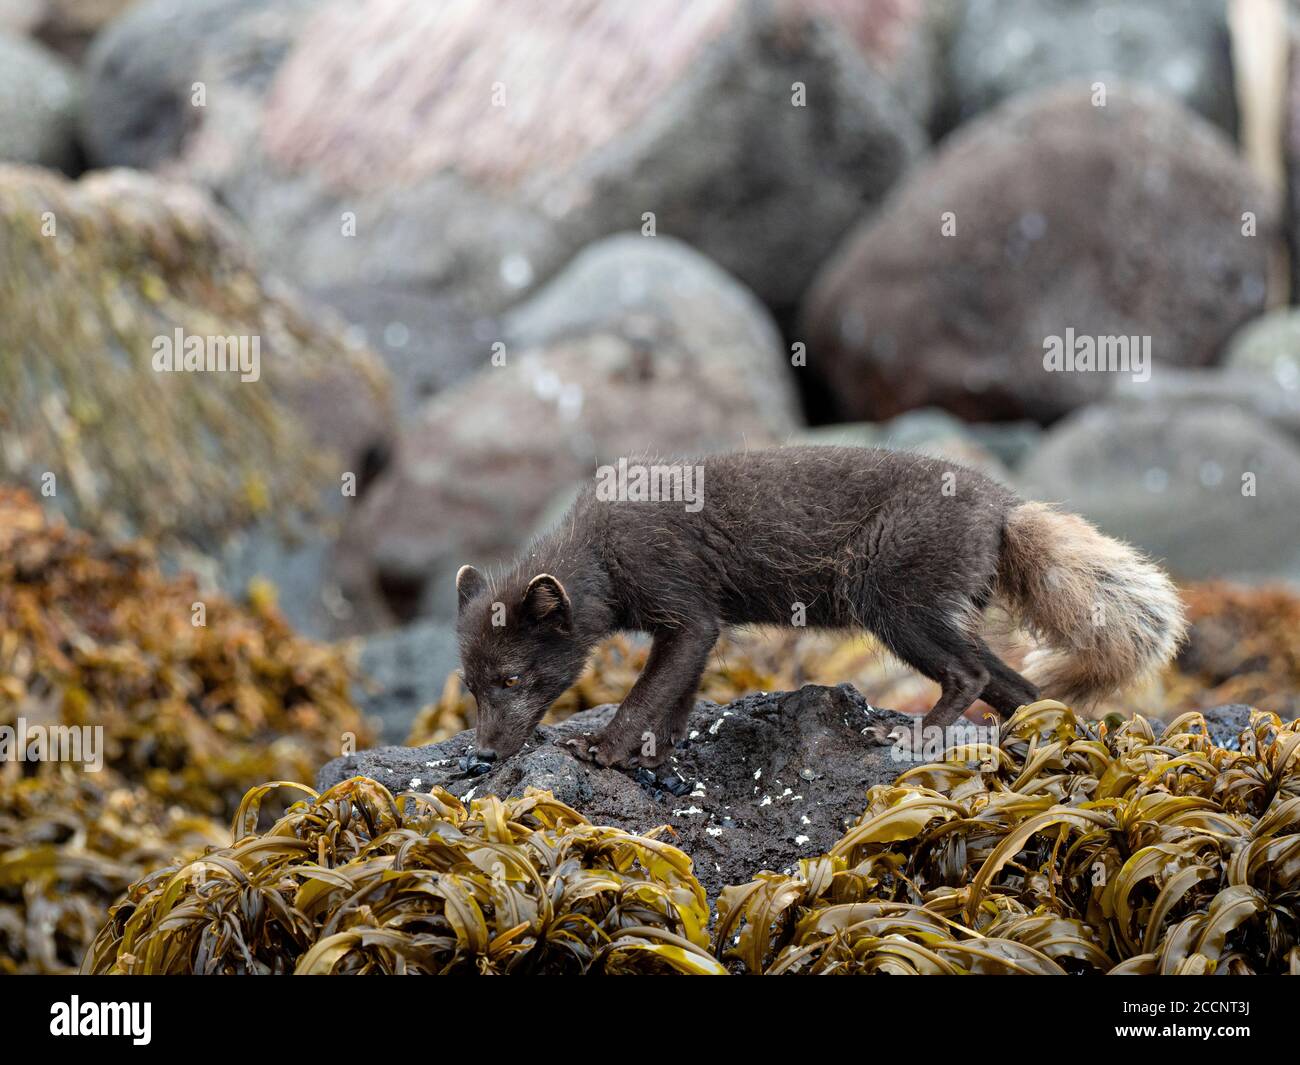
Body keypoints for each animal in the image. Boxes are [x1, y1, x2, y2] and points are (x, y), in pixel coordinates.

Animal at [454, 446, 1186, 770]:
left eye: (512, 678)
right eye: (469, 686)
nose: (485, 753)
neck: (602, 550)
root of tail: (1007, 505)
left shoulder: (685, 608)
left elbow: (647, 692)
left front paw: (602, 748)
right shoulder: (697, 625)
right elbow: (678, 693)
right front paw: (660, 749)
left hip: (891, 601)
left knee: (972, 674)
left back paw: (912, 736)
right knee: (1020, 686)